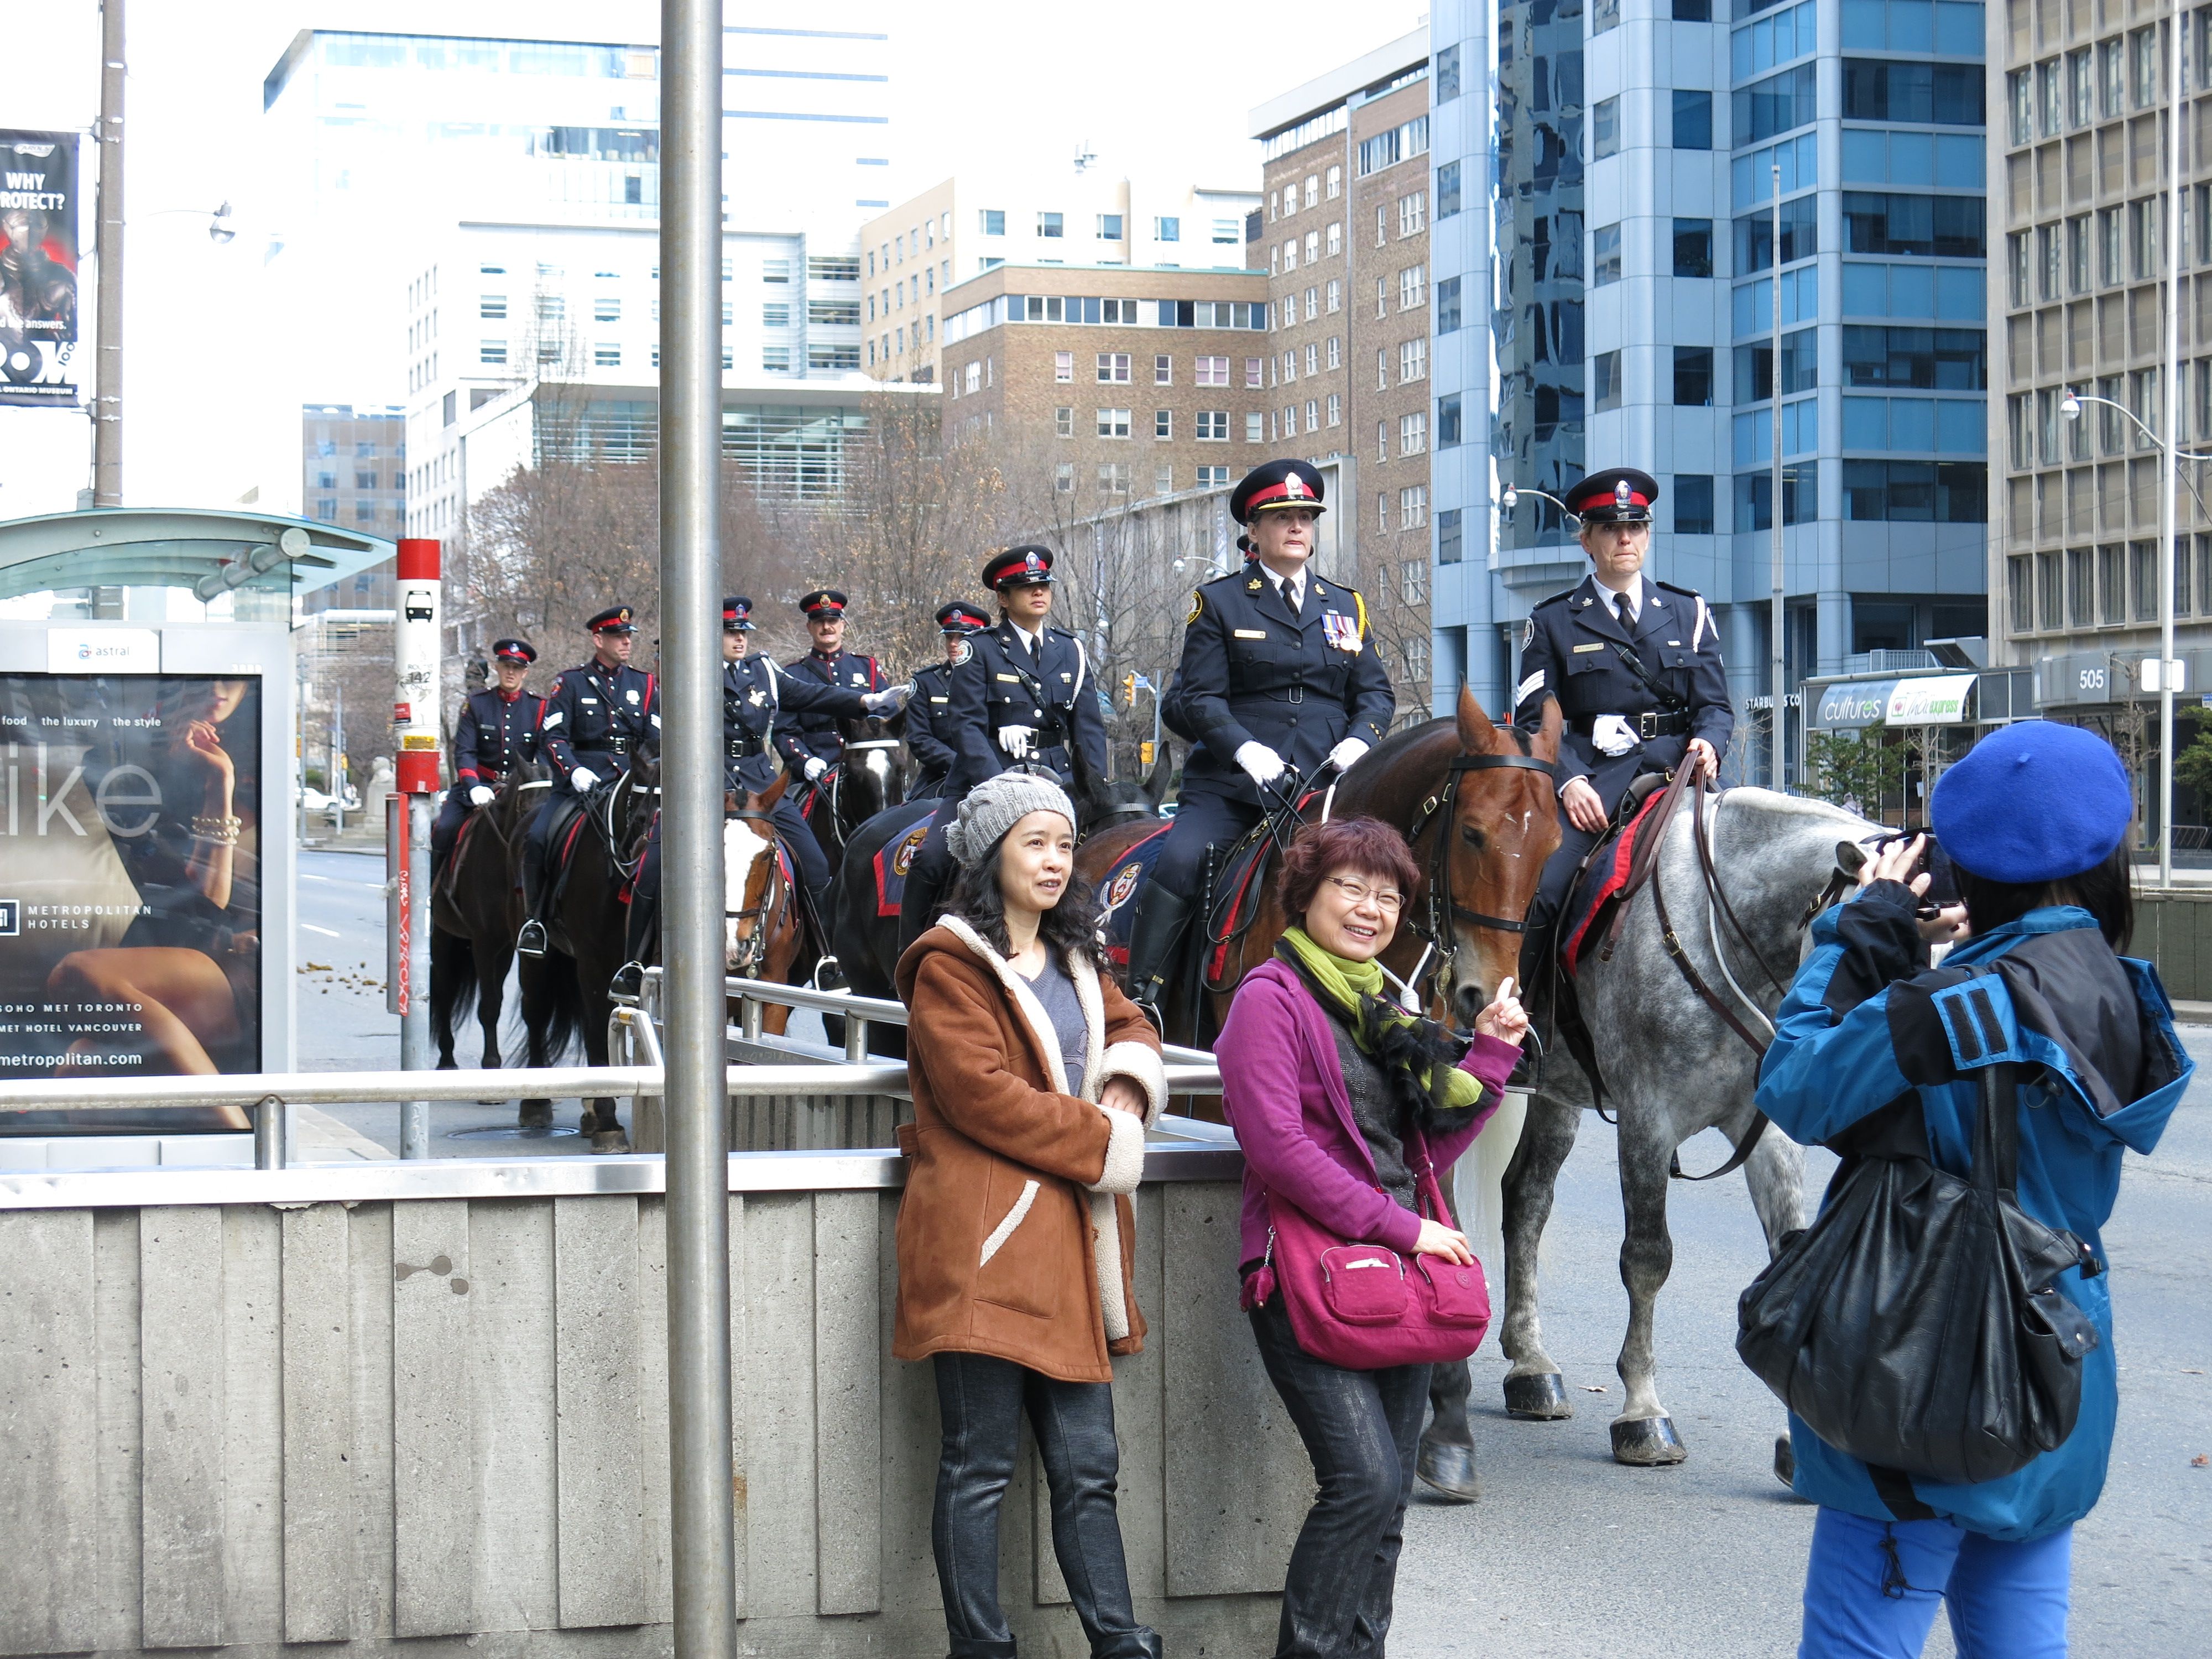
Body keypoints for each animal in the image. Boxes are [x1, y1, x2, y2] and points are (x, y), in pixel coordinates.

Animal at [428, 769, 542, 1072]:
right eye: (525, 808)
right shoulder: (484, 942)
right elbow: (489, 1006)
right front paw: (491, 1062)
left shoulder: (506, 946)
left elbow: (498, 1001)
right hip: (441, 936)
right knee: (444, 992)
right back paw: (446, 1058)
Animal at [1499, 783, 1877, 1466]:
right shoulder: (1647, 1122)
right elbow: (1647, 1258)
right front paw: (1643, 1412)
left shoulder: (1769, 1130)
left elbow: (1790, 1253)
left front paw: (1799, 1439)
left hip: (1555, 1096)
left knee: (1527, 1199)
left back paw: (1531, 1366)